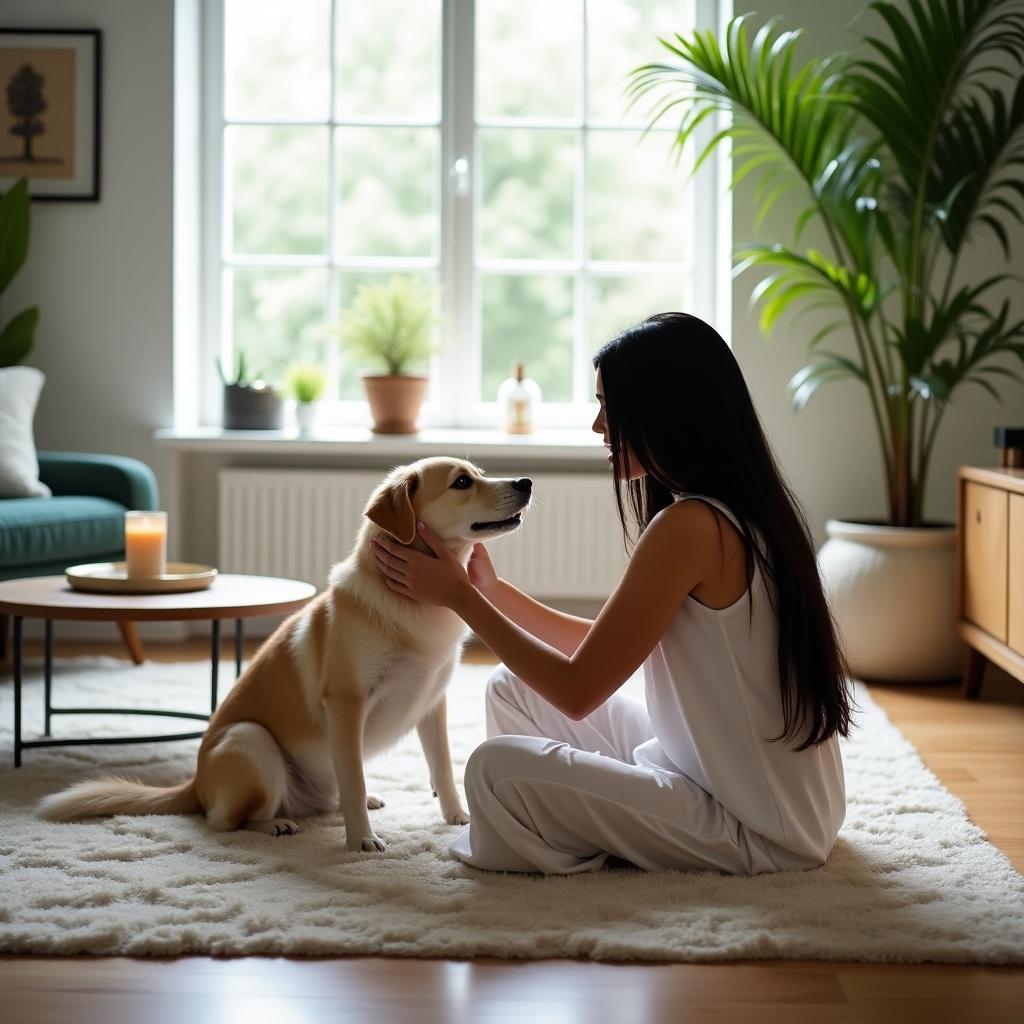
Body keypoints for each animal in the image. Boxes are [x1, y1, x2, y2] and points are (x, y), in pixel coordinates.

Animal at [37, 460, 536, 851]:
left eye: (480, 474)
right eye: (461, 482)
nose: (526, 481)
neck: (412, 604)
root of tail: (194, 784)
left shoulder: (432, 701)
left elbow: (443, 767)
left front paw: (456, 815)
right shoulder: (346, 703)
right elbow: (353, 777)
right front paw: (361, 840)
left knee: (325, 796)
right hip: (250, 740)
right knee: (225, 822)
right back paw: (276, 823)